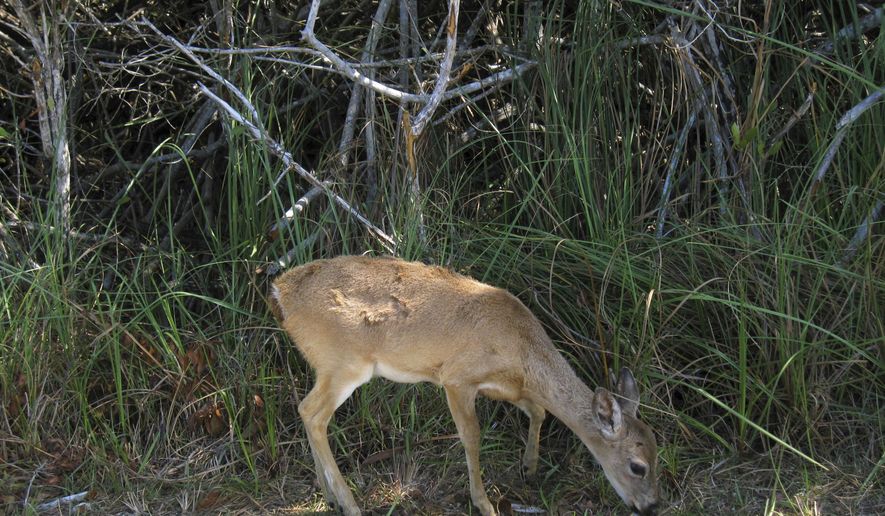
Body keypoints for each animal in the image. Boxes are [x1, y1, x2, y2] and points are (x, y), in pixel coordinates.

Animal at [270, 255, 660, 516]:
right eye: (637, 466)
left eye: (658, 449)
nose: (652, 505)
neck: (522, 349)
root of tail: (281, 292)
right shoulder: (457, 378)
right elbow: (472, 437)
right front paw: (484, 503)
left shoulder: (507, 387)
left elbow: (538, 411)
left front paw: (529, 467)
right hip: (344, 364)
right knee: (313, 413)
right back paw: (350, 504)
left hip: (328, 367)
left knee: (307, 412)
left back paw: (329, 495)